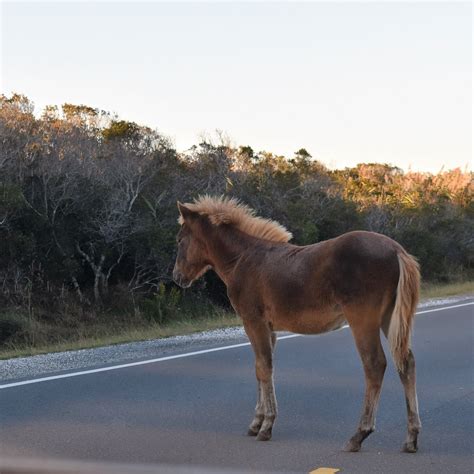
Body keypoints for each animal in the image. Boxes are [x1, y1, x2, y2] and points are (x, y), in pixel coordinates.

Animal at [172, 195, 420, 452]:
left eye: (180, 239)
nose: (177, 277)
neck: (242, 259)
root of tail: (397, 250)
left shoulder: (253, 322)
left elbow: (264, 368)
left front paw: (266, 426)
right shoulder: (268, 328)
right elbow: (260, 368)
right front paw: (256, 423)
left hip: (363, 320)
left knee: (375, 364)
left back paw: (358, 435)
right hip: (389, 318)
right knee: (406, 362)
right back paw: (411, 438)